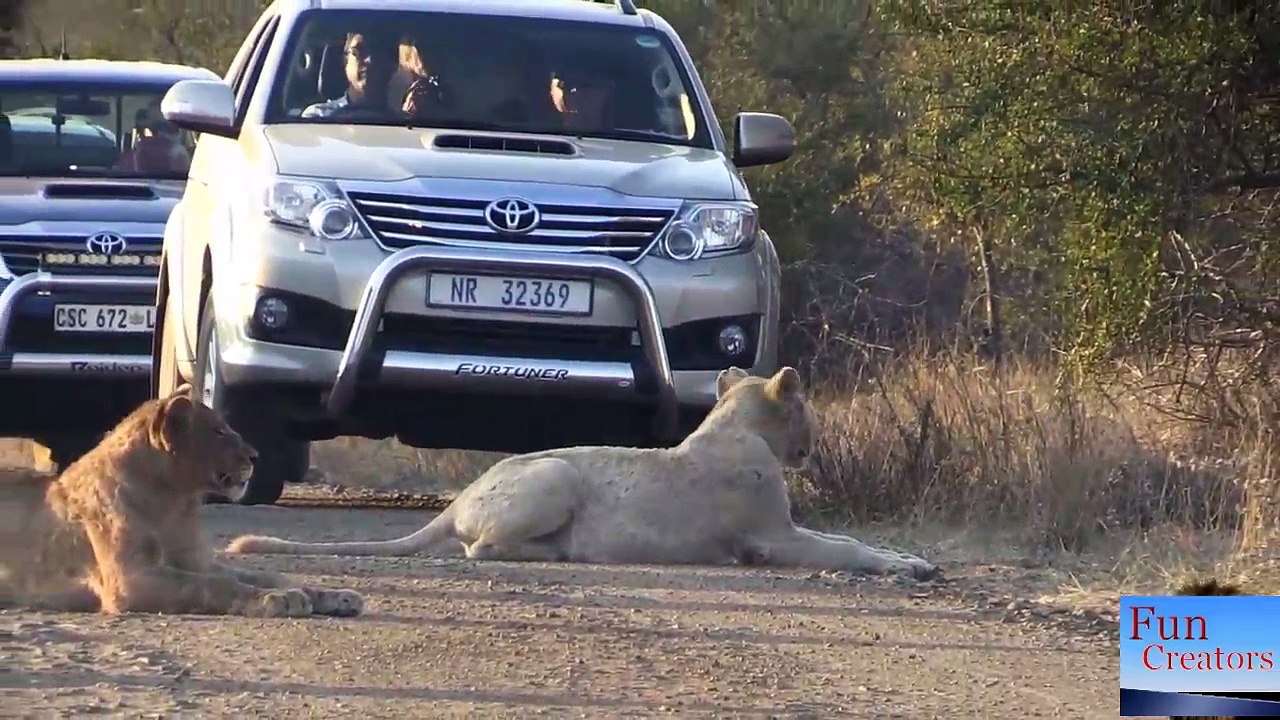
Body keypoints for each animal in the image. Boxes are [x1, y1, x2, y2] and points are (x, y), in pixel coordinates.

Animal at [0, 385, 362, 618]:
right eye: (218, 432)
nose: (255, 456)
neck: (173, 500)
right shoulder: (130, 579)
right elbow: (214, 585)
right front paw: (279, 600)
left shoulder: (195, 560)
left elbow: (261, 575)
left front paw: (333, 596)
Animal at [227, 366, 940, 580]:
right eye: (806, 407)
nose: (812, 443)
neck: (738, 423)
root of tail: (456, 500)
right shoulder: (770, 539)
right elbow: (844, 547)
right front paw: (904, 568)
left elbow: (857, 540)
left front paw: (915, 559)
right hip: (556, 479)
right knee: (482, 550)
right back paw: (560, 553)